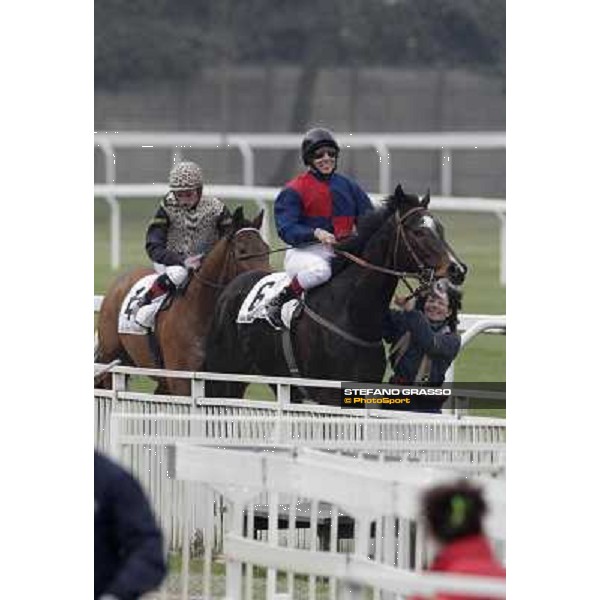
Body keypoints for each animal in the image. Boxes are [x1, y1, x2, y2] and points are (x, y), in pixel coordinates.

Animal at [94, 209, 270, 396]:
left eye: (266, 249)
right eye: (242, 250)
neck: (201, 311)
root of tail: (117, 284)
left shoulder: (231, 383)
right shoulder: (182, 380)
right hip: (113, 360)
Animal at [204, 185, 466, 406]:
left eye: (440, 229)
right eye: (418, 232)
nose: (458, 269)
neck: (352, 313)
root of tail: (233, 284)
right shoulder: (328, 394)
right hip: (223, 371)